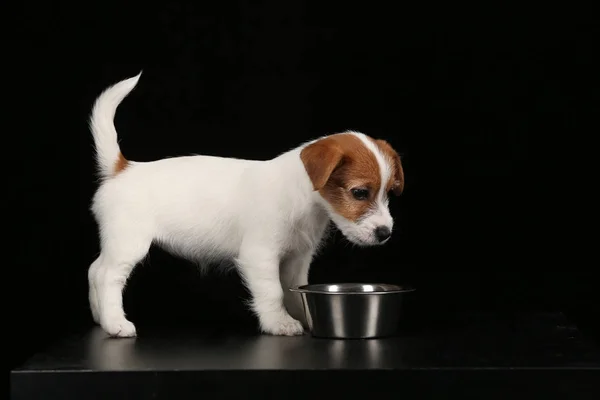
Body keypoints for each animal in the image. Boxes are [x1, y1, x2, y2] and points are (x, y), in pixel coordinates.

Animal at [86, 72, 406, 338]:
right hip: (129, 242)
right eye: (359, 193)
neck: (303, 200)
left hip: (118, 243)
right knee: (106, 275)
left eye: (389, 193)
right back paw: (116, 323)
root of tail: (123, 168)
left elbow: (295, 290)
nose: (385, 233)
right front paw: (279, 323)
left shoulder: (297, 259)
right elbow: (273, 292)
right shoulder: (260, 255)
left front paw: (304, 318)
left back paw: (99, 317)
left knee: (93, 269)